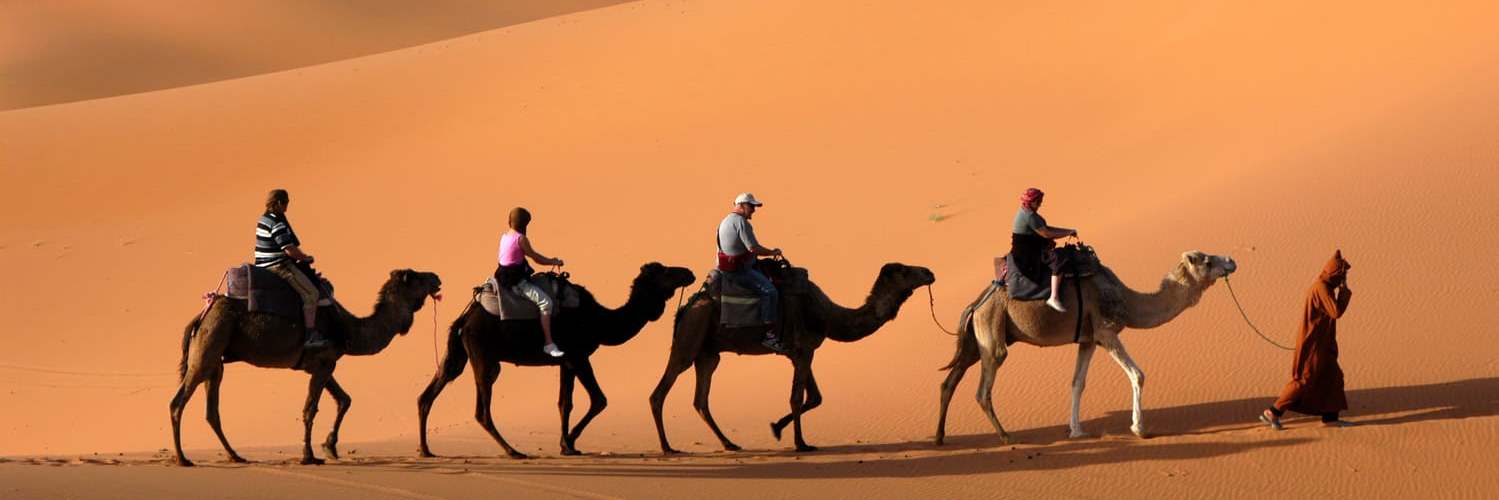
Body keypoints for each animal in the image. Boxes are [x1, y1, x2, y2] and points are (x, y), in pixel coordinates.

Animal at [170, 268, 443, 466]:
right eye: (417, 278)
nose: (436, 277)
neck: (349, 330)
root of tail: (201, 316)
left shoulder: (324, 364)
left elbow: (345, 399)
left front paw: (330, 447)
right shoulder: (323, 363)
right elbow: (311, 409)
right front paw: (309, 456)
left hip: (216, 359)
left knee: (212, 411)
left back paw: (235, 455)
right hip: (209, 345)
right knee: (177, 402)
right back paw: (183, 459)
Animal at [416, 263, 696, 458]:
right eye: (665, 271)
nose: (689, 272)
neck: (600, 321)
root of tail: (465, 319)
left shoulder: (566, 361)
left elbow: (565, 403)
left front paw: (566, 445)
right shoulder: (579, 356)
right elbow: (599, 400)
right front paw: (569, 441)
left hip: (461, 355)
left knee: (432, 389)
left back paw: (426, 450)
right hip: (485, 358)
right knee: (482, 409)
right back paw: (513, 451)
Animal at [650, 261, 936, 453]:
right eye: (904, 270)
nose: (929, 272)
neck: (827, 315)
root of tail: (686, 308)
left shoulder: (802, 352)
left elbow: (815, 397)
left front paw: (776, 427)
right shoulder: (803, 350)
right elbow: (798, 398)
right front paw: (801, 443)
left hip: (708, 353)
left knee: (701, 399)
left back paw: (729, 443)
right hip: (690, 338)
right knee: (660, 392)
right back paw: (667, 447)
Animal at [934, 251, 1237, 445]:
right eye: (1207, 260)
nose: (1231, 261)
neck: (1127, 300)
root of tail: (975, 304)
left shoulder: (1088, 339)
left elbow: (1077, 383)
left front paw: (1076, 431)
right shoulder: (1106, 331)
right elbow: (1137, 374)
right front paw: (1139, 428)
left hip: (976, 340)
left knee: (950, 381)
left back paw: (940, 437)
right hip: (992, 330)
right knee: (983, 388)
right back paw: (1006, 436)